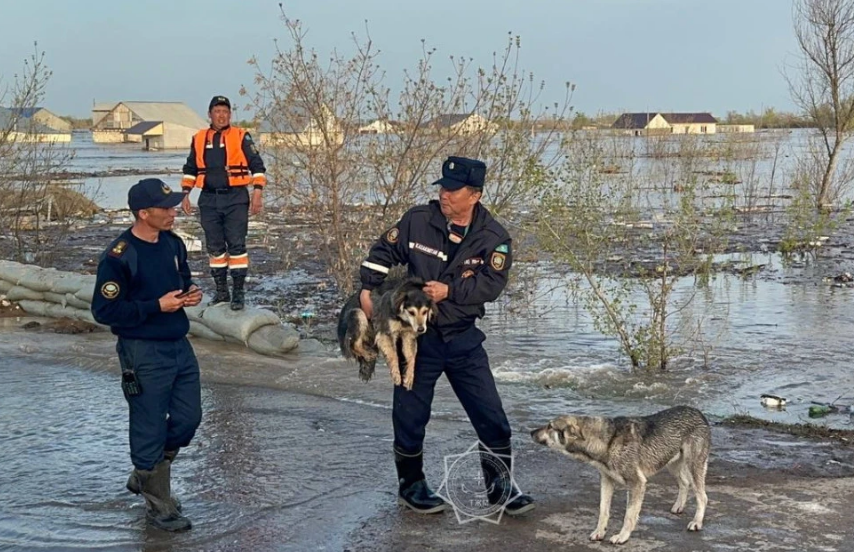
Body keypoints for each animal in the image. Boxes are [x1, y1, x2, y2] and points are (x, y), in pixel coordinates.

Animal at [532, 406, 712, 544]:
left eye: (550, 426)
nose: (531, 432)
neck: (607, 441)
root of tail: (698, 412)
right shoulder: (606, 481)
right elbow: (603, 510)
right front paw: (600, 532)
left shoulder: (636, 483)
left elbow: (629, 515)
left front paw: (622, 537)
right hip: (671, 464)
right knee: (684, 483)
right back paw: (679, 506)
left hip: (693, 467)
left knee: (702, 497)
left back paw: (697, 522)